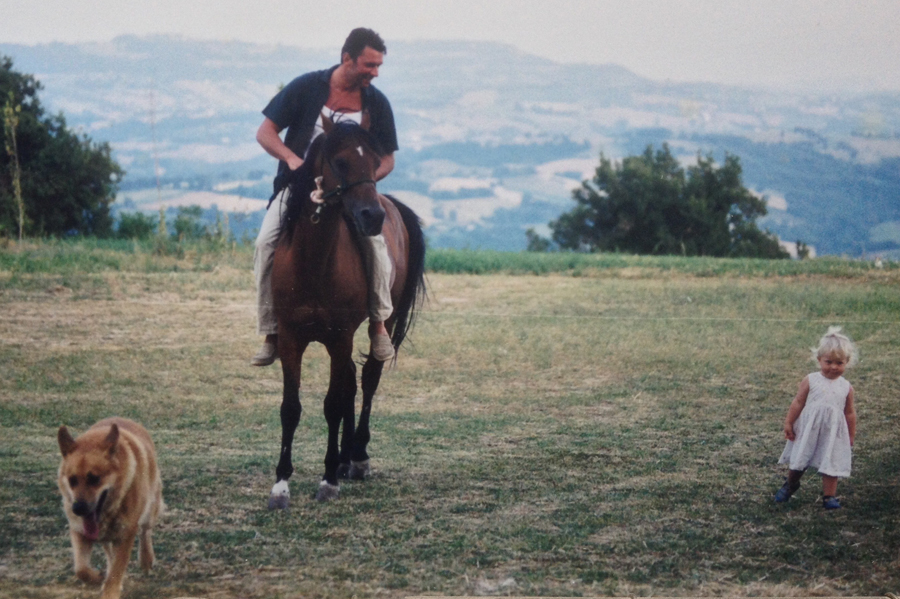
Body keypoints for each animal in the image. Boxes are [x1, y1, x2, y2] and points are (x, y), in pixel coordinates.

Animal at [58, 418, 165, 599]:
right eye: (72, 480)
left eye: (94, 479)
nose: (77, 509)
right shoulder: (79, 531)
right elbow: (81, 569)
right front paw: (96, 577)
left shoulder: (126, 533)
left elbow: (117, 568)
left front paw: (110, 591)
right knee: (108, 550)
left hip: (150, 508)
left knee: (145, 532)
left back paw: (146, 560)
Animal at [268, 119, 426, 508]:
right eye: (340, 162)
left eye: (375, 162)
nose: (372, 217)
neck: (313, 261)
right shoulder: (291, 339)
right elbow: (291, 407)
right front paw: (281, 484)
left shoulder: (339, 337)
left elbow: (332, 404)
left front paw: (327, 480)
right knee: (353, 380)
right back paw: (343, 458)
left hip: (379, 322)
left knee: (368, 377)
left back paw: (356, 457)